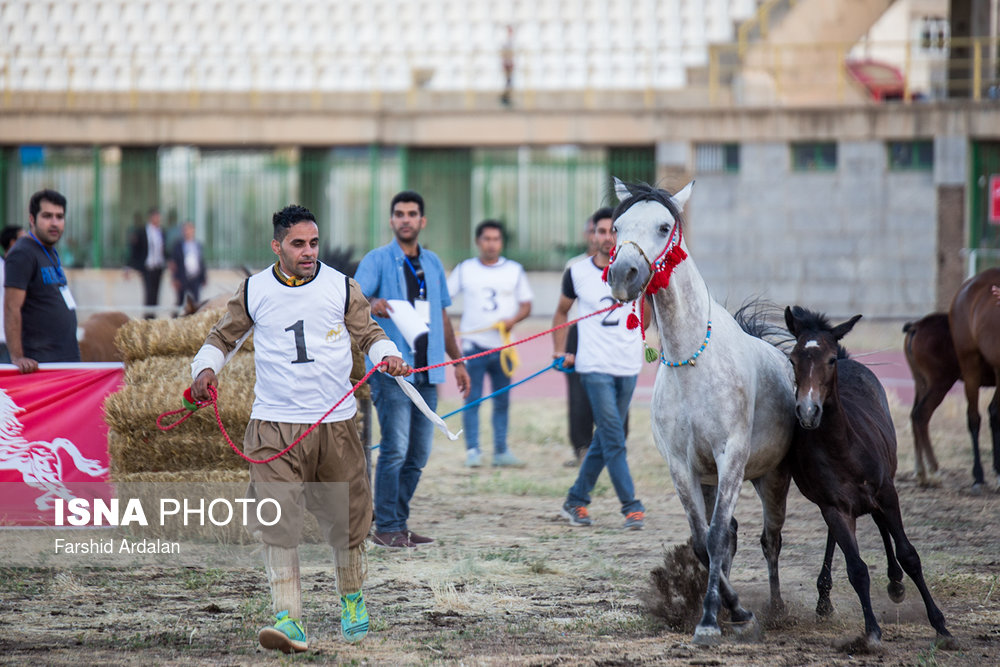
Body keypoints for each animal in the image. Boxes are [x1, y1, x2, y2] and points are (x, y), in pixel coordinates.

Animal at [784, 306, 948, 652]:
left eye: (830, 359)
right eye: (792, 359)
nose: (808, 411)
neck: (843, 448)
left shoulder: (887, 492)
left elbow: (909, 555)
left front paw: (940, 625)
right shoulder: (833, 505)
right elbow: (857, 568)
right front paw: (871, 632)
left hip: (883, 487)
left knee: (881, 524)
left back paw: (895, 583)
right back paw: (825, 598)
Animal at [904, 314, 996, 486]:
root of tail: (917, 325)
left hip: (921, 382)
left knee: (914, 415)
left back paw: (921, 472)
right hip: (941, 382)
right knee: (921, 414)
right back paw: (934, 470)